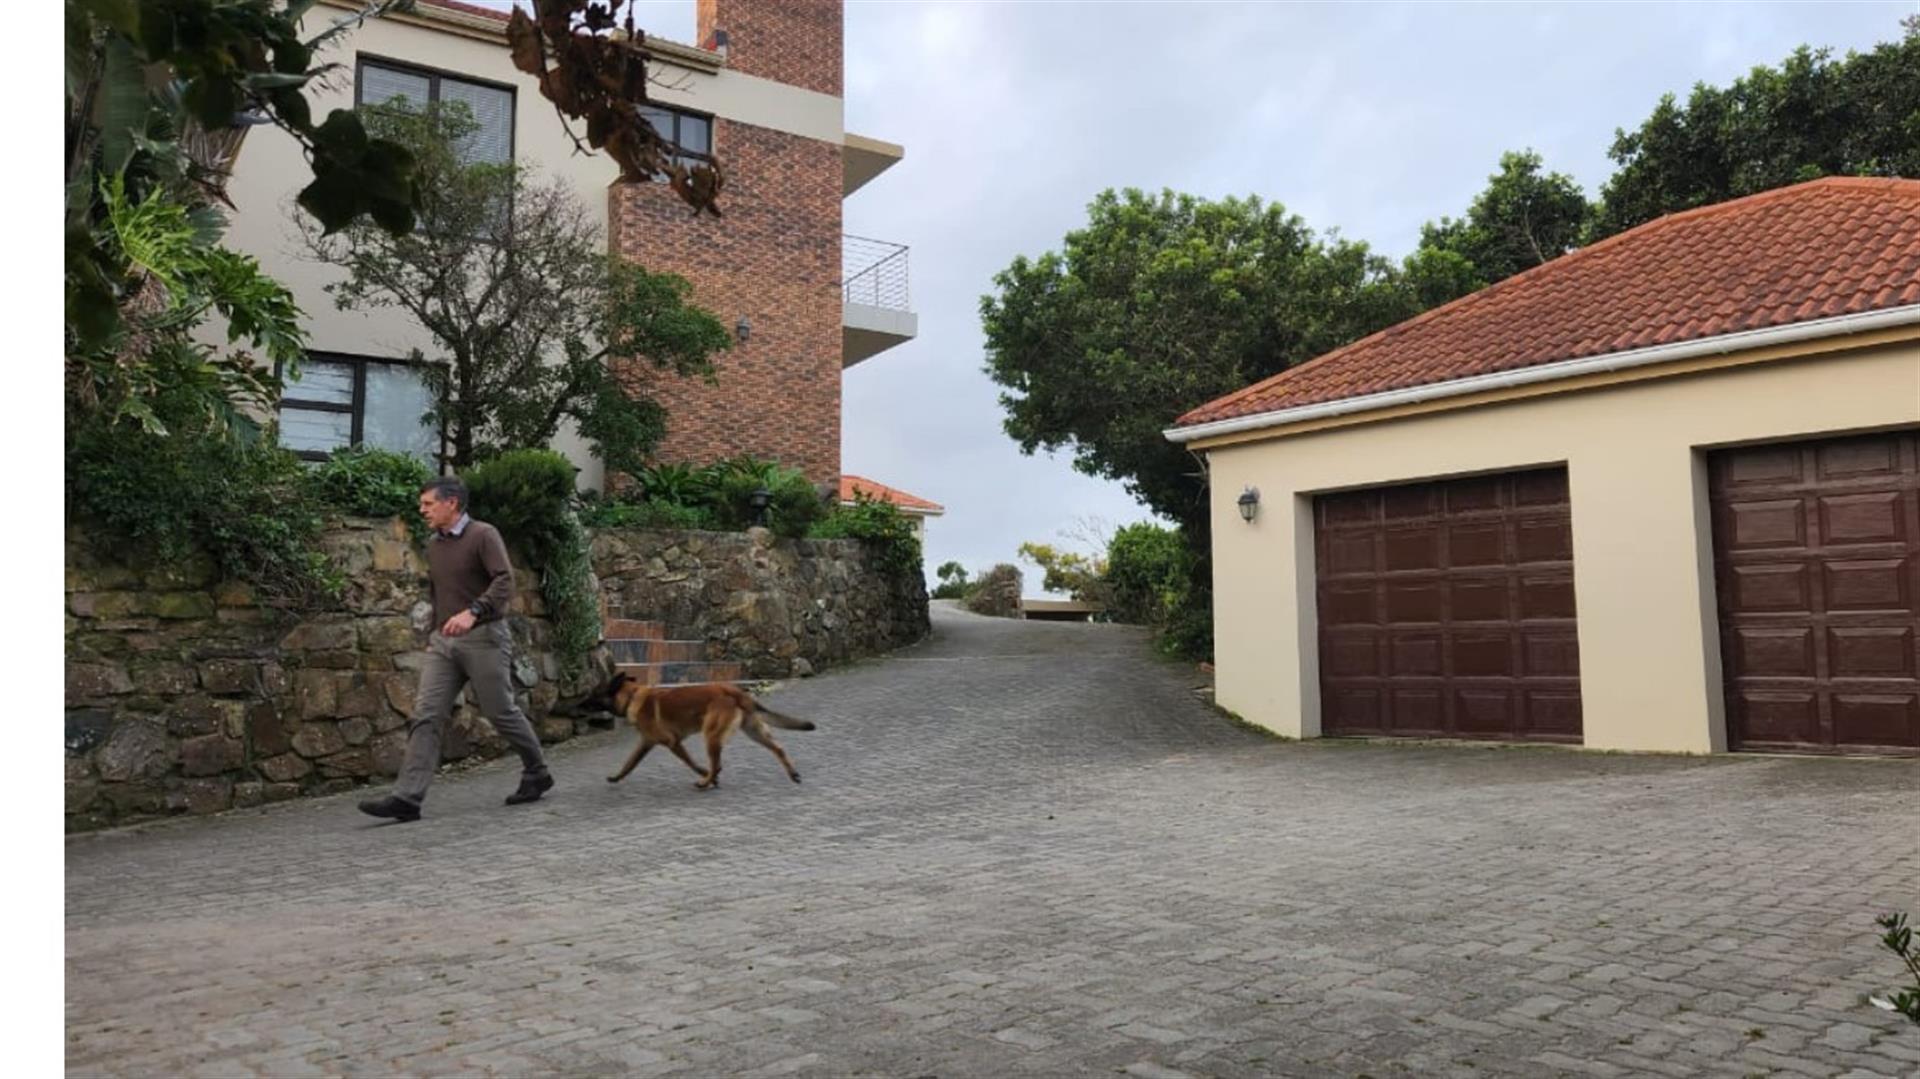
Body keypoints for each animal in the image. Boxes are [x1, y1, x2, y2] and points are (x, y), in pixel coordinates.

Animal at [600, 671, 816, 790]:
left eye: (596, 693)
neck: (633, 697)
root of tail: (735, 691)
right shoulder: (645, 744)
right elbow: (628, 764)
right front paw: (616, 777)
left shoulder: (673, 743)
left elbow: (692, 763)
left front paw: (704, 774)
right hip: (753, 731)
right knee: (778, 749)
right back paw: (793, 774)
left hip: (711, 736)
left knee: (717, 765)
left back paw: (705, 783)